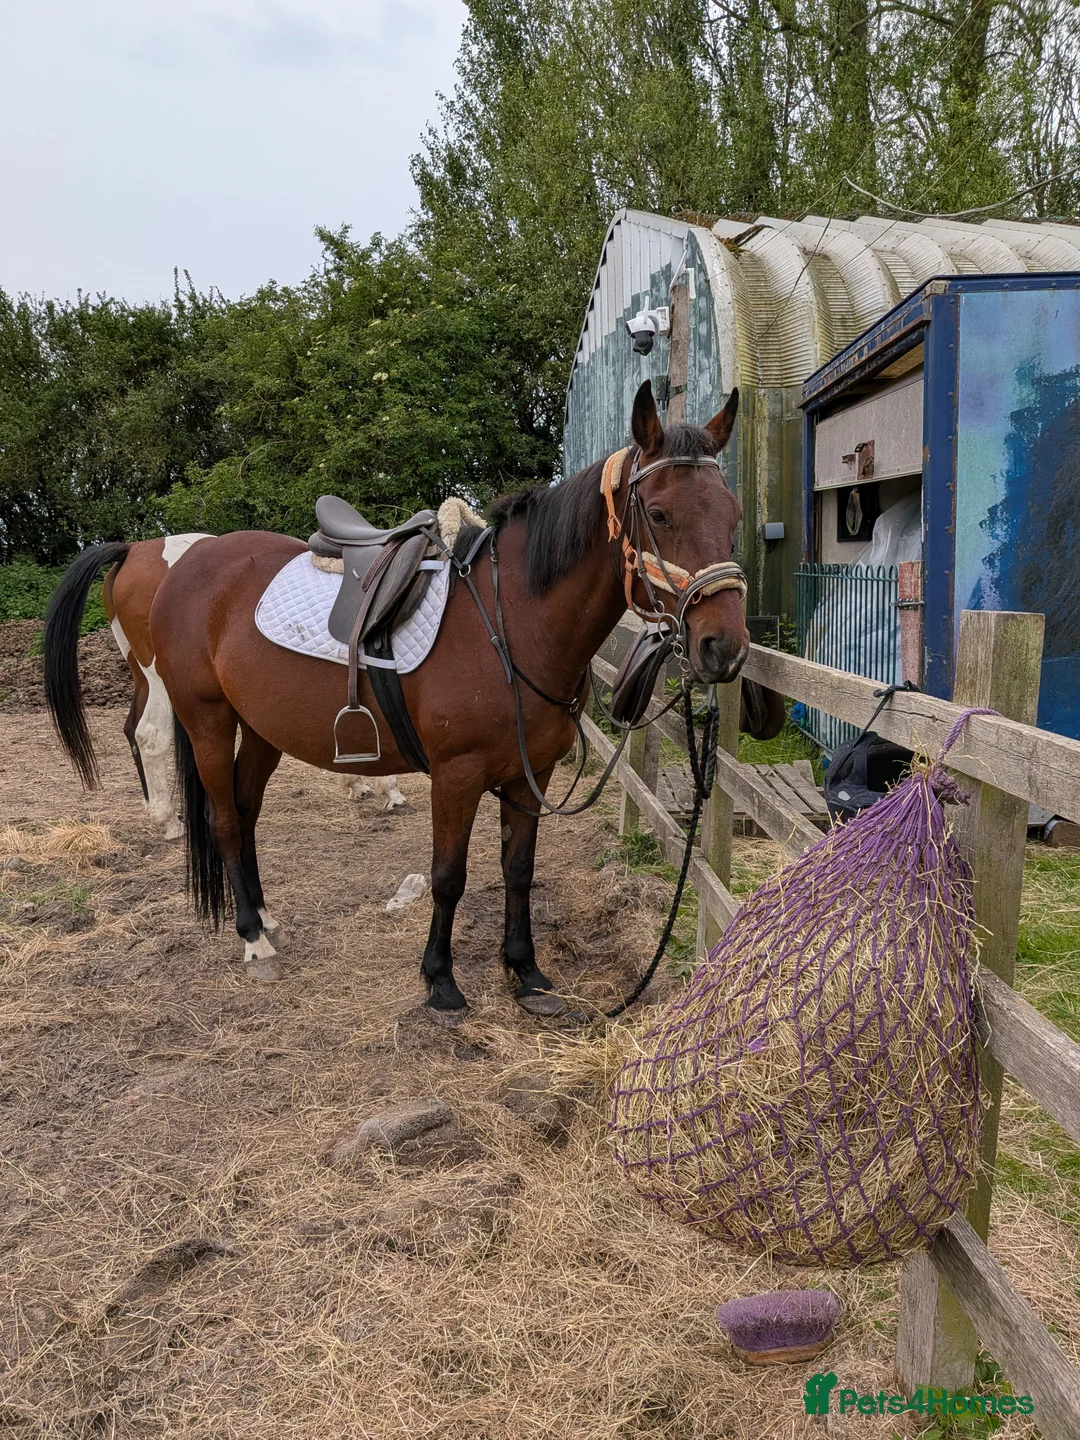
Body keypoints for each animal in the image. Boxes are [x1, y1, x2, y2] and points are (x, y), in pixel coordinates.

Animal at [42, 537, 407, 836]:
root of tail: (133, 550)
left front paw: (357, 784)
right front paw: (389, 790)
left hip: (144, 676)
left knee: (132, 729)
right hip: (160, 677)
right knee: (149, 734)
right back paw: (168, 821)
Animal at [143, 379, 752, 1019]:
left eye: (733, 517)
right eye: (658, 514)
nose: (725, 648)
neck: (512, 622)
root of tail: (187, 565)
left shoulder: (529, 775)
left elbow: (518, 869)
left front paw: (526, 973)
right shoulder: (456, 776)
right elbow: (448, 876)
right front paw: (440, 979)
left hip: (262, 728)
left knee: (245, 811)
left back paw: (263, 917)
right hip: (208, 722)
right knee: (223, 820)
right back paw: (253, 939)